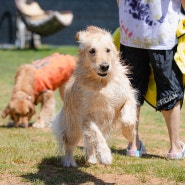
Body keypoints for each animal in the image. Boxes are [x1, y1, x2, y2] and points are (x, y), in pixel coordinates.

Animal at [52, 26, 137, 168]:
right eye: (92, 51)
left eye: (108, 50)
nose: (104, 66)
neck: (102, 83)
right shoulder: (86, 117)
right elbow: (97, 135)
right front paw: (105, 155)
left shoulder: (126, 98)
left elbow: (128, 120)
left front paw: (129, 134)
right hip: (72, 126)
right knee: (70, 143)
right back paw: (69, 161)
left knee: (89, 141)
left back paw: (91, 158)